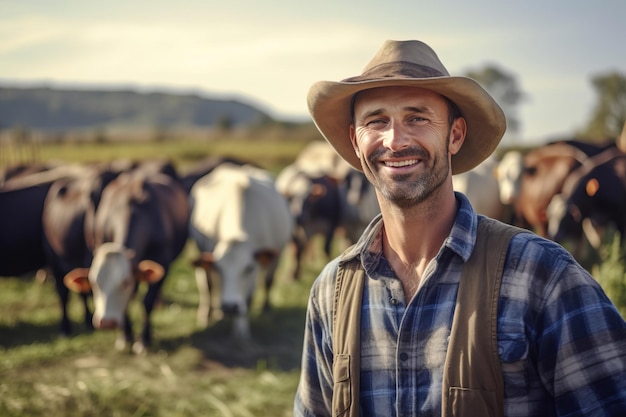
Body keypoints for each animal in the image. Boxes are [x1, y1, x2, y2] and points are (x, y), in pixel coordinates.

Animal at [63, 168, 191, 352]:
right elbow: (127, 305)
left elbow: (147, 301)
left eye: (125, 282)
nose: (107, 322)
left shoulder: (163, 261)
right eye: (94, 282)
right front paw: (125, 337)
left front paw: (143, 339)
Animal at [188, 161, 292, 340]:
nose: (230, 307)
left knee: (268, 281)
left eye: (248, 268)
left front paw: (241, 331)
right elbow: (209, 285)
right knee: (207, 285)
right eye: (218, 268)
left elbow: (252, 295)